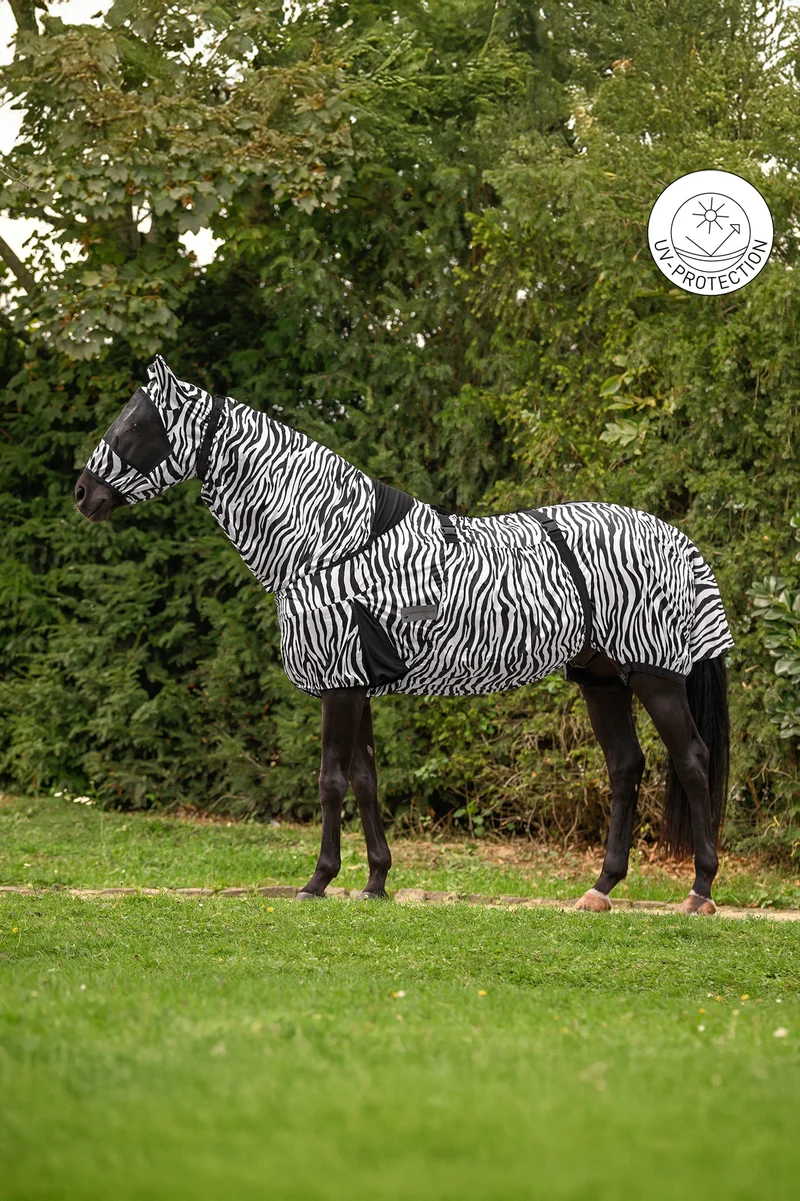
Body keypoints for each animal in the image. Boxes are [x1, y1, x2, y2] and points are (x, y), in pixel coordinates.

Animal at [75, 356, 733, 914]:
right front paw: (375, 881)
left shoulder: (339, 686)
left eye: (136, 423)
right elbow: (365, 781)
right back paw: (601, 889)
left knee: (692, 760)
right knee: (625, 767)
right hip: (601, 680)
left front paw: (318, 881)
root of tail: (677, 538)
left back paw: (700, 891)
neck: (329, 542)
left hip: (654, 676)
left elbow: (330, 781)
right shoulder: (356, 684)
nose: (83, 494)